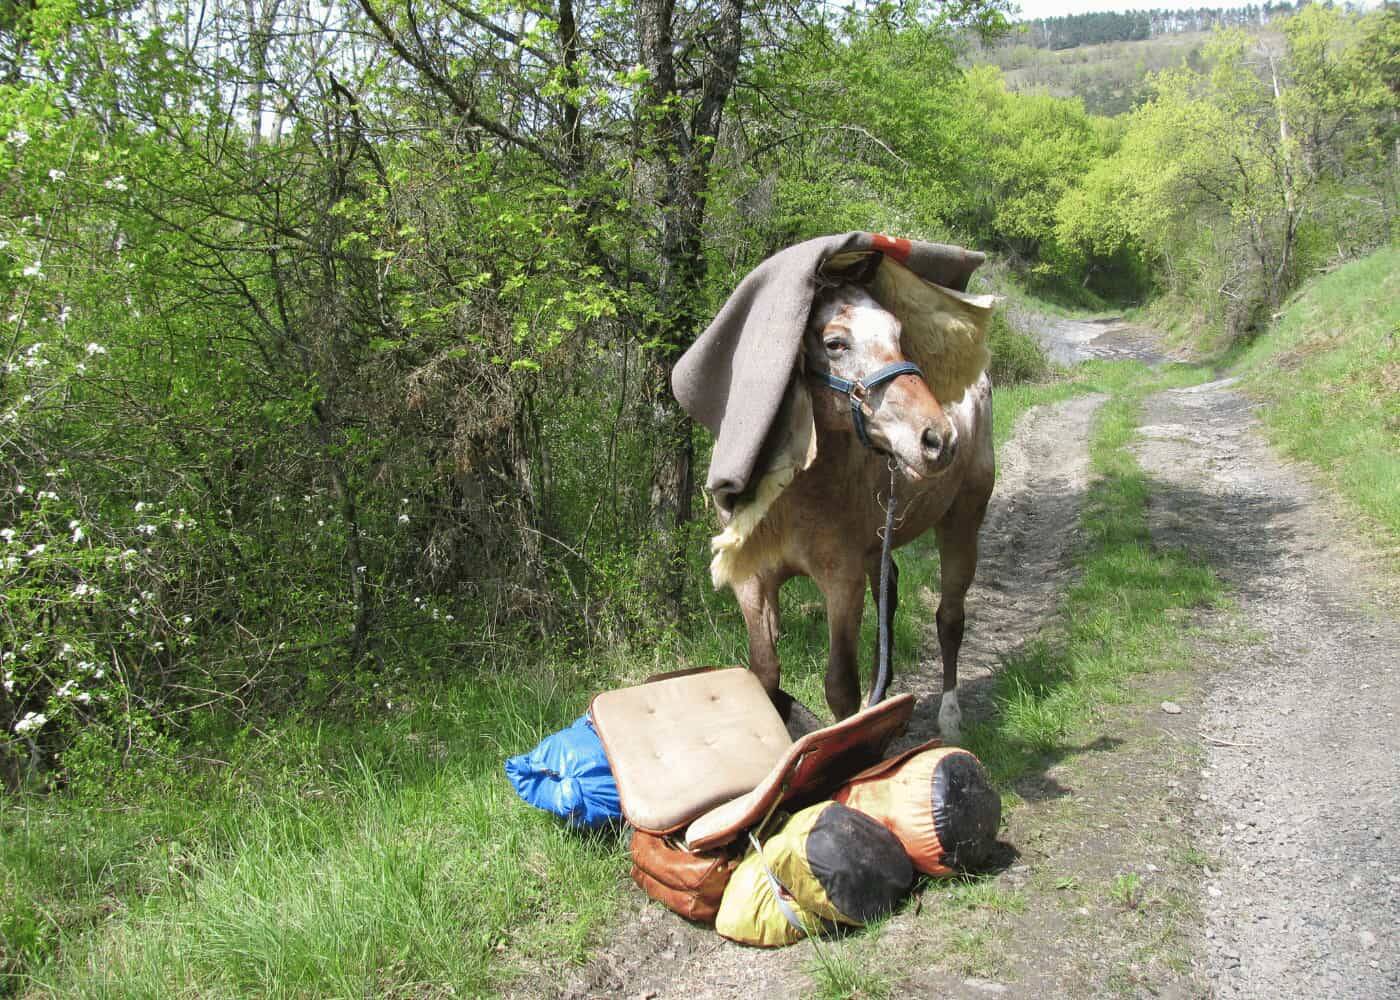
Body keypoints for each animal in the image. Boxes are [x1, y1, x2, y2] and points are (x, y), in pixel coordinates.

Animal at [724, 283, 994, 739]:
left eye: (899, 335)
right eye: (835, 343)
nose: (937, 439)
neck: (792, 497)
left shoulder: (842, 582)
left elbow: (839, 687)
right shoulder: (752, 583)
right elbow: (764, 674)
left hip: (961, 522)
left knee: (950, 618)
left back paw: (950, 715)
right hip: (878, 548)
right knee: (890, 599)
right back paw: (880, 701)